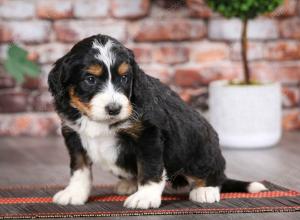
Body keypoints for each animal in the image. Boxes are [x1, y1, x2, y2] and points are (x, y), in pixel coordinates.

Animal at [47, 34, 268, 208]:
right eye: (90, 79)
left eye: (125, 78)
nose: (114, 109)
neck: (98, 121)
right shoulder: (73, 134)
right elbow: (80, 168)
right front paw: (74, 193)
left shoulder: (148, 135)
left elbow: (149, 167)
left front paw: (145, 197)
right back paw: (129, 184)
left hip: (202, 145)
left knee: (215, 173)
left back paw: (205, 190)